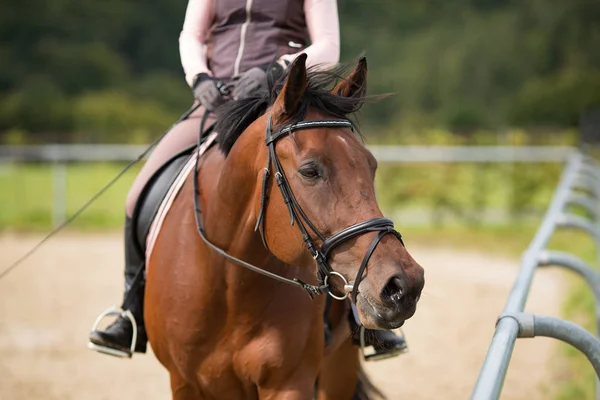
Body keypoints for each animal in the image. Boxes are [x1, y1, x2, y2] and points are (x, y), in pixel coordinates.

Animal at [144, 55, 426, 400]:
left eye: (371, 165)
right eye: (310, 170)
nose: (405, 284)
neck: (231, 286)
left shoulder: (289, 384)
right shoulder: (184, 383)